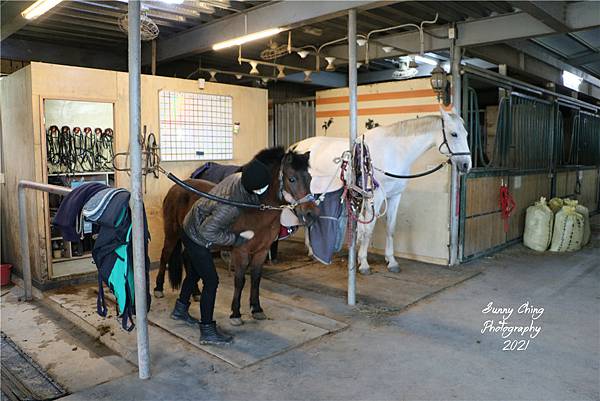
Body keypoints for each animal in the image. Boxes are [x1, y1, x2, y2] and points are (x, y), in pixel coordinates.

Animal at [296, 108, 474, 274]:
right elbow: (368, 230)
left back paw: (311, 251)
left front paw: (391, 261)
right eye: (454, 134)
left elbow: (390, 228)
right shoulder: (375, 198)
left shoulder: (395, 196)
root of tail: (296, 146)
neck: (394, 152)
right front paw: (363, 263)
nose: (466, 165)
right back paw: (311, 251)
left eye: (466, 134)